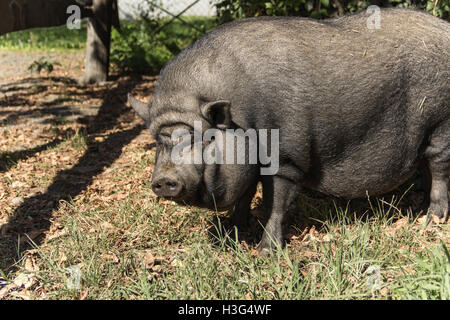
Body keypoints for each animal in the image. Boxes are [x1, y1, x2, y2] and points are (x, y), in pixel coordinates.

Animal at [128, 8, 448, 255]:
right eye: (158, 141)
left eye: (205, 138)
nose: (164, 179)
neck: (243, 119)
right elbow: (245, 195)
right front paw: (232, 232)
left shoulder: (285, 160)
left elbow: (276, 205)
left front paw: (266, 252)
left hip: (441, 125)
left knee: (439, 168)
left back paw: (432, 220)